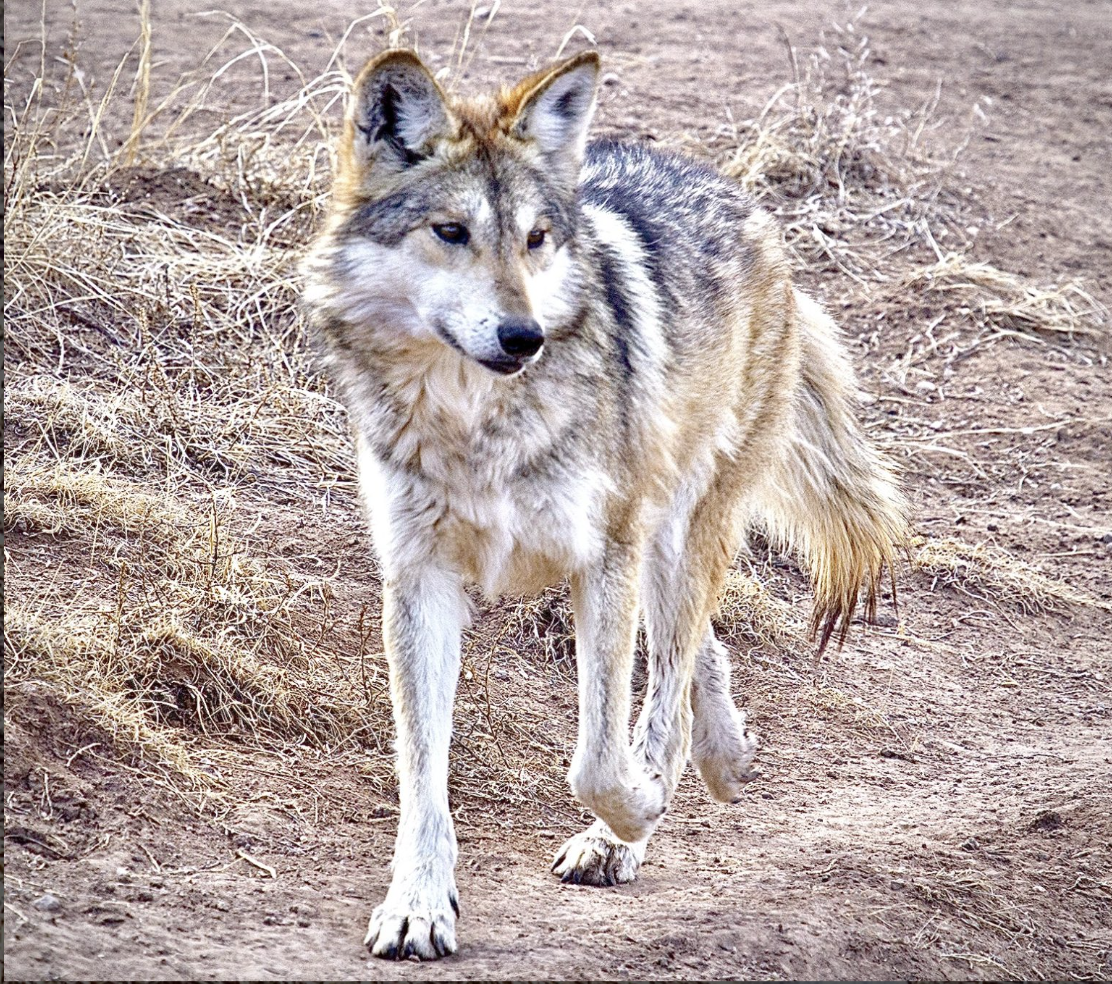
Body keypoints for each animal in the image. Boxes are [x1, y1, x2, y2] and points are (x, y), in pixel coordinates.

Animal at [300, 48, 907, 960]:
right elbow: (422, 773)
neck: (478, 422)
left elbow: (597, 759)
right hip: (658, 542)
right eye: (451, 233)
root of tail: (736, 195)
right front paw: (417, 905)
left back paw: (638, 820)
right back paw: (727, 755)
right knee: (693, 657)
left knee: (671, 679)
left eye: (535, 239)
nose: (523, 337)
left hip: (679, 532)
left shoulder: (602, 558)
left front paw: (635, 814)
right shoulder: (419, 578)